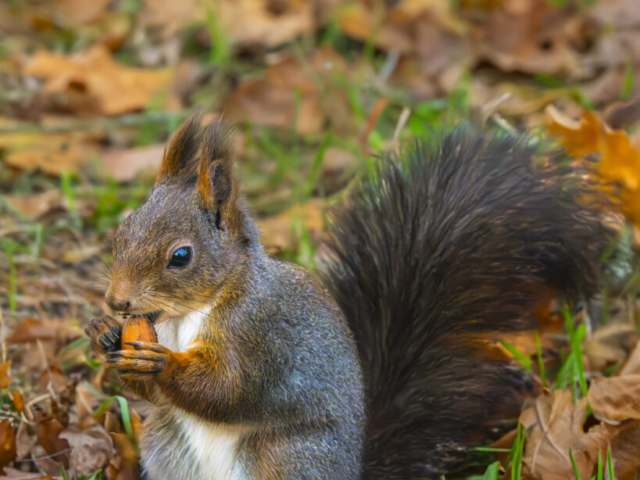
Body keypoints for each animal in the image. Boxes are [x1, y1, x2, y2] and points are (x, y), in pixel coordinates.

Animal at [85, 113, 608, 480]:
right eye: (121, 232)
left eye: (181, 256)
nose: (117, 301)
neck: (190, 314)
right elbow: (152, 393)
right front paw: (104, 334)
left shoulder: (262, 335)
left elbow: (231, 390)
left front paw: (159, 363)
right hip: (165, 443)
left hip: (286, 456)